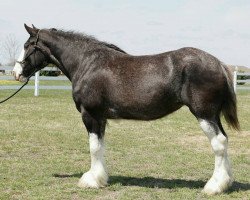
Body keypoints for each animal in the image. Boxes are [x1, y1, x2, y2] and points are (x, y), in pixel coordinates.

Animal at [12, 23, 239, 195]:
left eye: (27, 45)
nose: (16, 72)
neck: (87, 63)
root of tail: (219, 64)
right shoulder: (101, 118)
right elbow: (100, 146)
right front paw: (100, 178)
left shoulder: (90, 115)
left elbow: (93, 147)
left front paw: (90, 180)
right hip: (213, 115)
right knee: (224, 141)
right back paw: (225, 182)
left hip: (204, 114)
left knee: (218, 143)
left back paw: (214, 186)